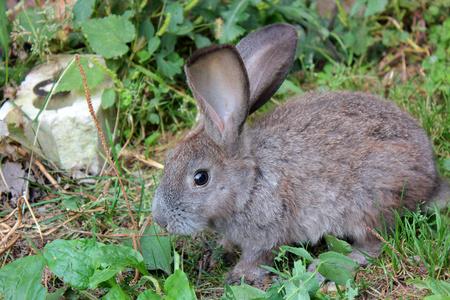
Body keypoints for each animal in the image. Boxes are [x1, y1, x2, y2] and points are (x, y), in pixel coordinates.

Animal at [152, 22, 450, 284]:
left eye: (200, 178)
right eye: (169, 159)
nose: (160, 220)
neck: (250, 183)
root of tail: (431, 182)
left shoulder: (269, 228)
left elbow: (258, 256)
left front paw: (239, 275)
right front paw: (217, 253)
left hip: (370, 202)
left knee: (373, 246)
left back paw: (320, 269)